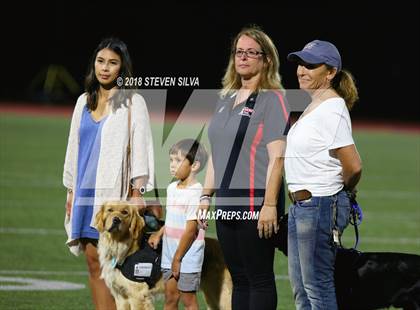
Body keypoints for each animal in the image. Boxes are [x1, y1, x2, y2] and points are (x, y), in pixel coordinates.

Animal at [95, 201, 233, 310]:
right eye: (109, 210)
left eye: (125, 212)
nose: (116, 220)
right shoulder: (120, 296)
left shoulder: (137, 296)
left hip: (224, 295)